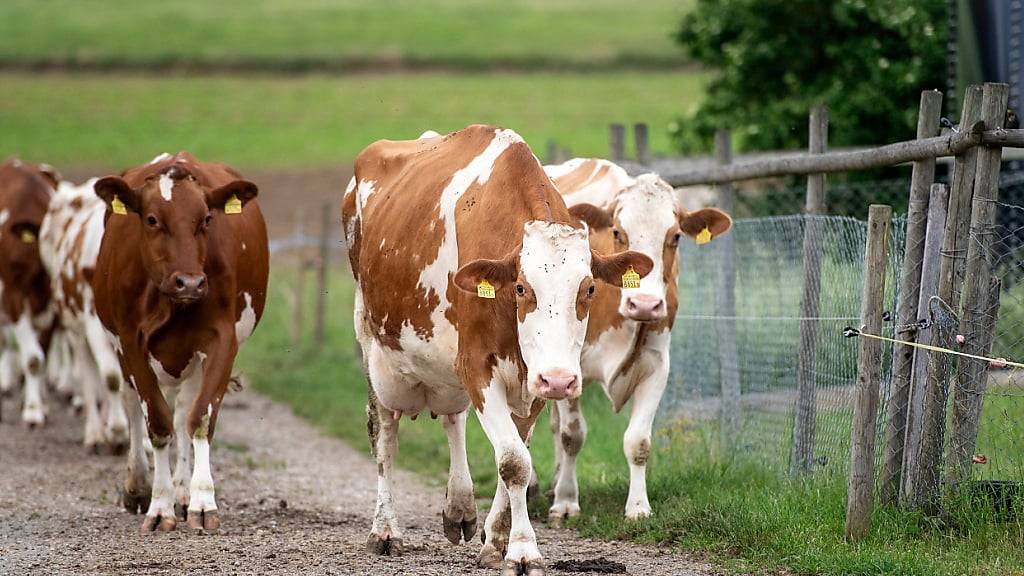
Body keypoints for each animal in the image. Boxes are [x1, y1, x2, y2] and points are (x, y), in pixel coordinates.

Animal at [40, 177, 132, 450]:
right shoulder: (93, 323)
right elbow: (112, 378)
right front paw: (117, 431)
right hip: (76, 330)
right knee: (89, 374)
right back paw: (95, 432)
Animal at [90, 151, 268, 528]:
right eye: (152, 219)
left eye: (206, 220)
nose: (190, 282)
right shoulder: (131, 343)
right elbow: (157, 423)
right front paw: (159, 505)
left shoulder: (222, 341)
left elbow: (198, 419)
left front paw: (201, 500)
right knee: (131, 402)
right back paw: (138, 486)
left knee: (184, 410)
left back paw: (183, 490)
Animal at [339, 126, 651, 573]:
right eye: (521, 287)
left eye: (589, 288)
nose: (561, 380)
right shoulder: (477, 365)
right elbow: (513, 462)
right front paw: (523, 550)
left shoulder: (533, 379)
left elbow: (517, 455)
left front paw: (499, 540)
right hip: (373, 344)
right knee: (384, 433)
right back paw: (385, 530)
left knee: (453, 419)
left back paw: (459, 507)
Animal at [540, 157, 733, 520]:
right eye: (617, 233)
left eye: (675, 237)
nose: (643, 303)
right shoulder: (570, 367)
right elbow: (573, 435)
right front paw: (567, 501)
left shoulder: (656, 366)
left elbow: (638, 441)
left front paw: (639, 506)